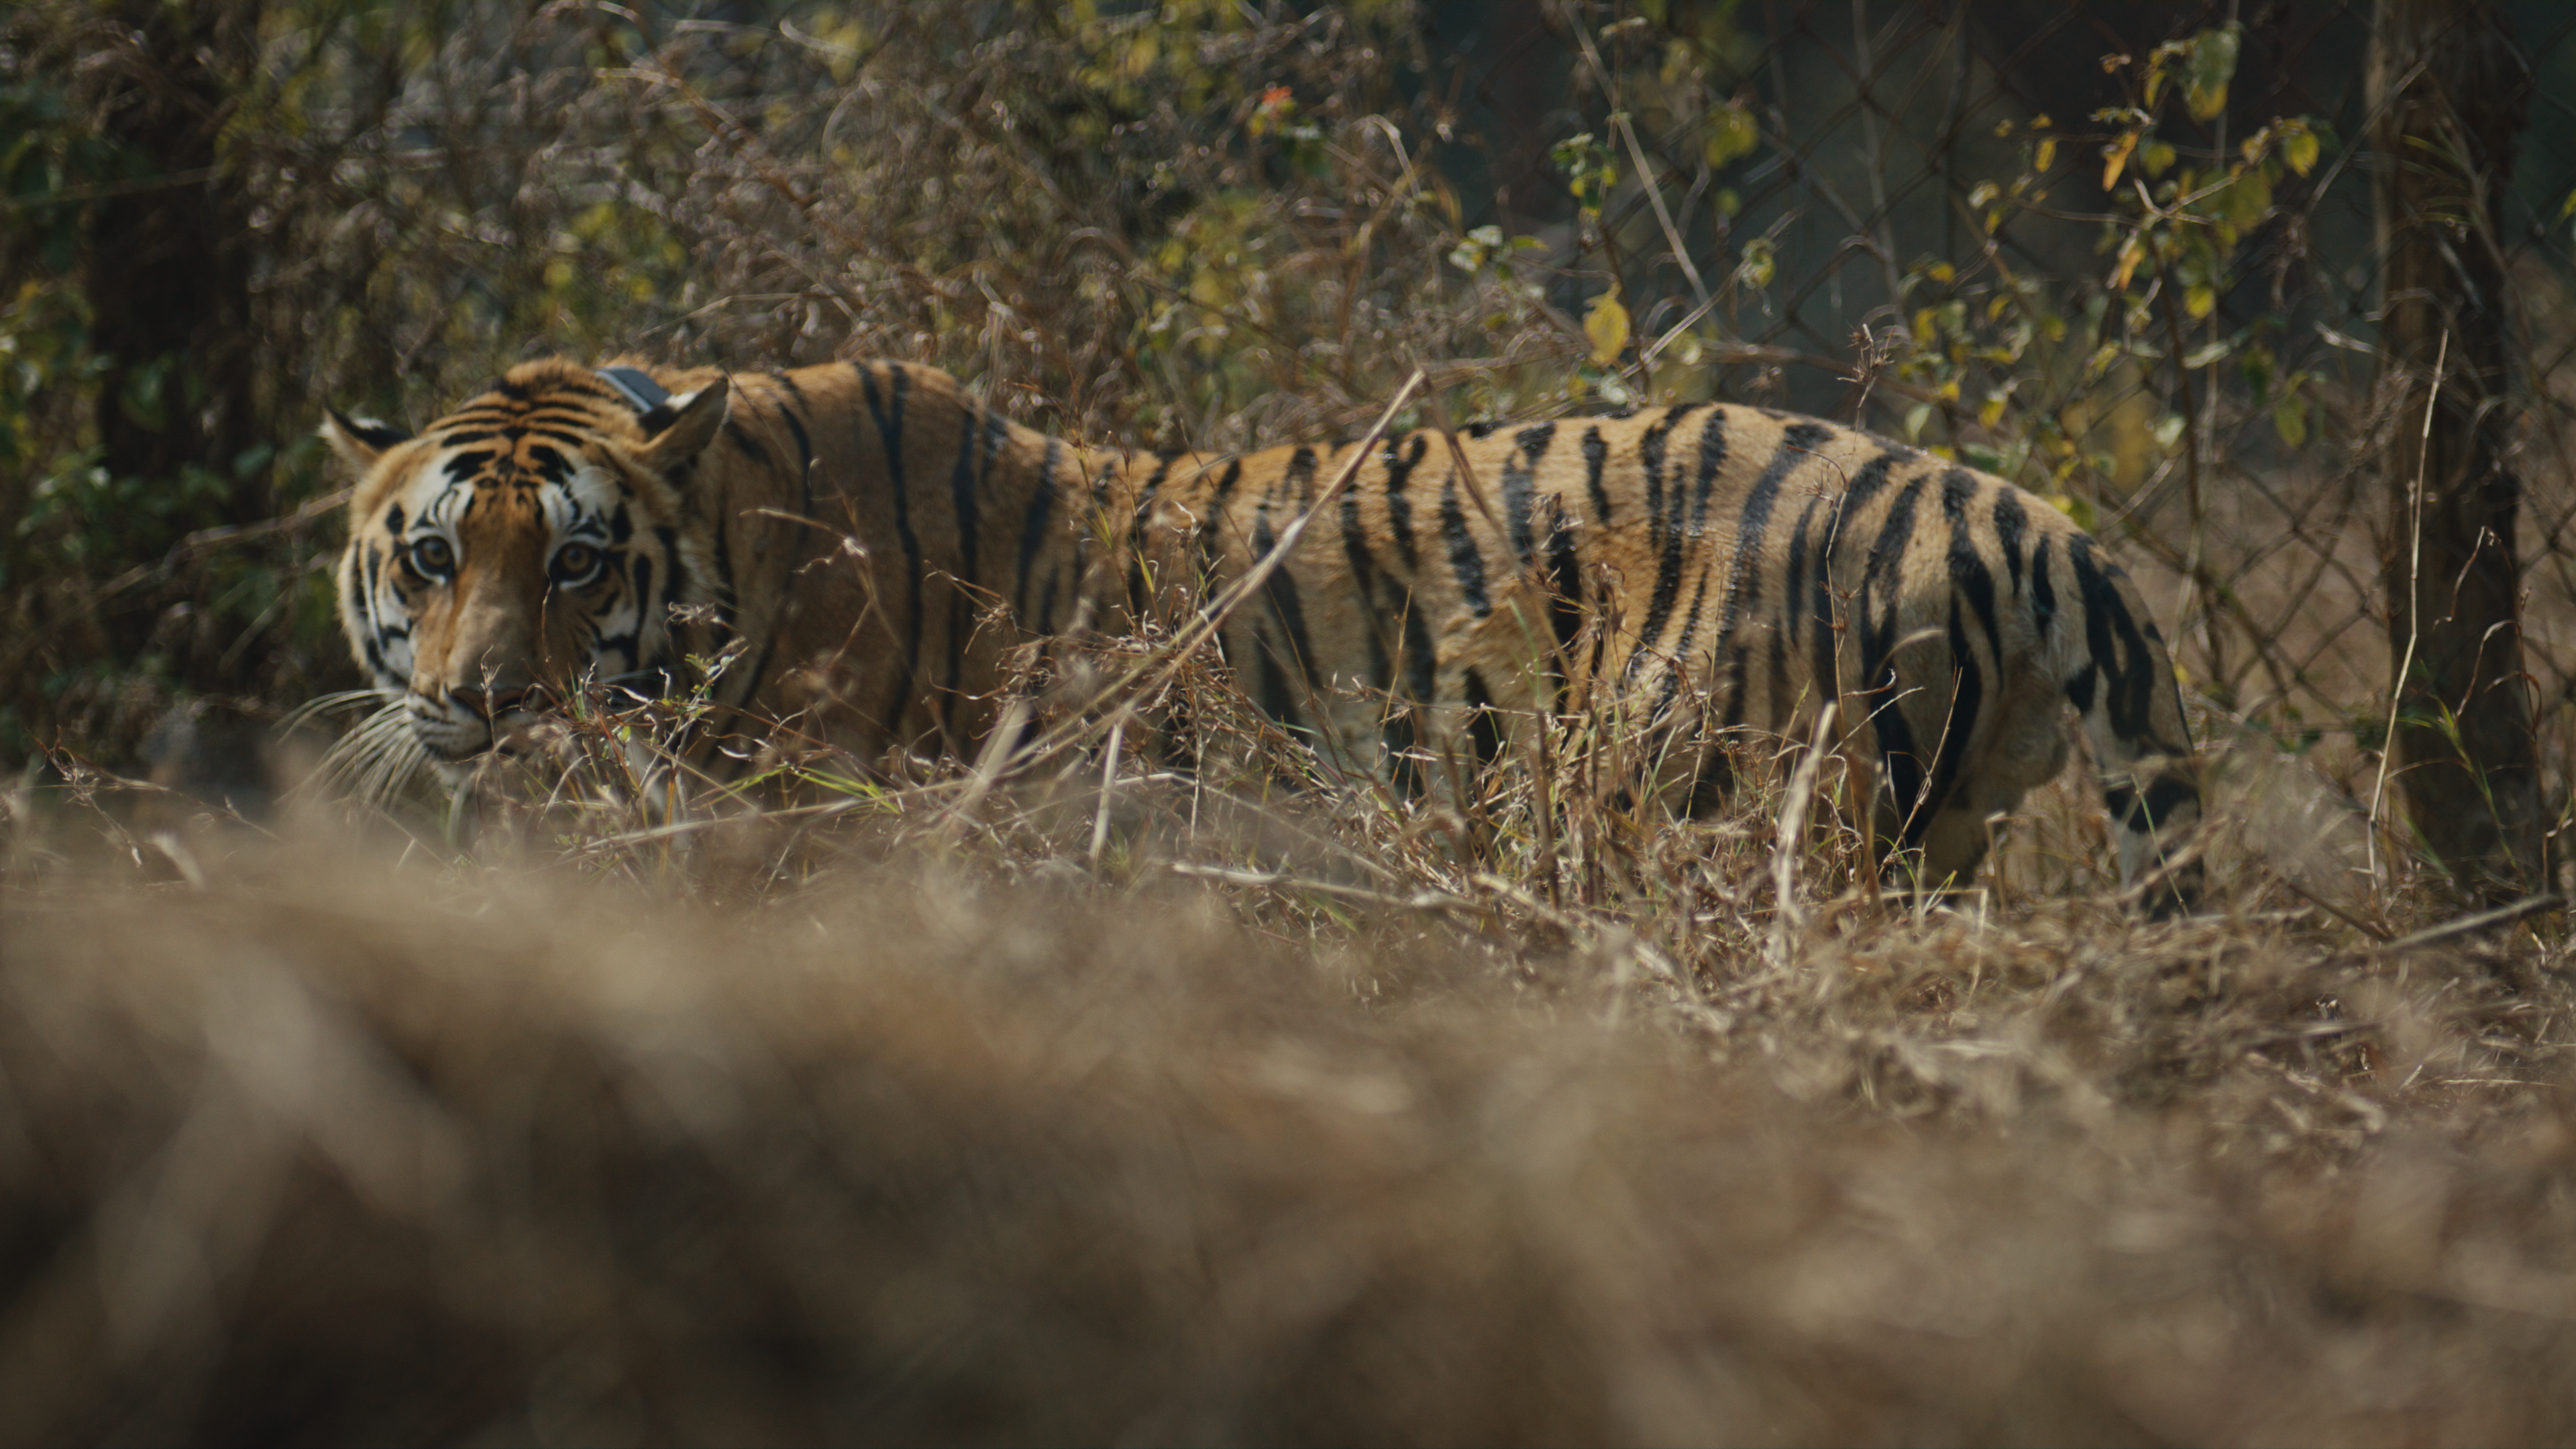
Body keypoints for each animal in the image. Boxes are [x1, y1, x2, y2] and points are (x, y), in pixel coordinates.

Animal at [324, 355, 2200, 896]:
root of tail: (2005, 507)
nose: (484, 706)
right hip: (1944, 829)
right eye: (431, 558)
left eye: (575, 567)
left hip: (1717, 820)